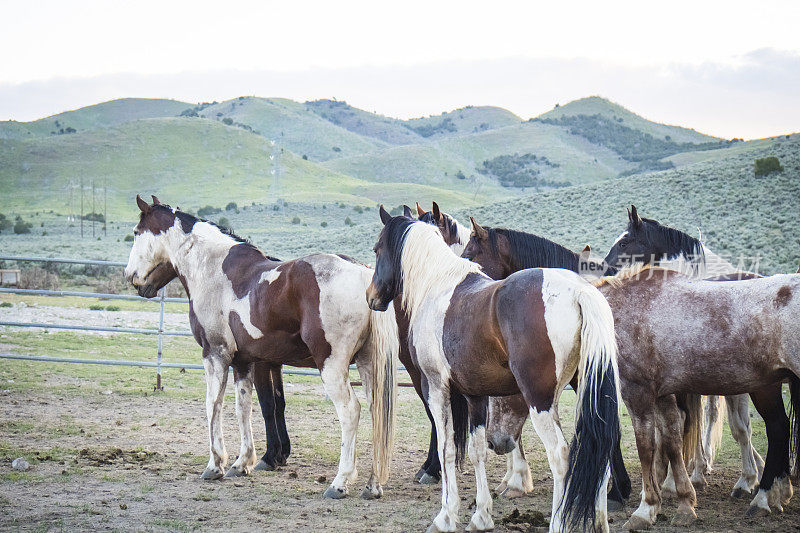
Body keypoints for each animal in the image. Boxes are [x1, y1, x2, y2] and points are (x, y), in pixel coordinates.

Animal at [125, 194, 400, 498]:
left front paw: (215, 465)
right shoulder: (244, 361)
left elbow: (213, 405)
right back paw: (373, 485)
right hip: (368, 364)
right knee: (378, 414)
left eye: (136, 232)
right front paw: (242, 462)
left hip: (332, 366)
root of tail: (363, 275)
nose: (130, 276)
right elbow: (244, 407)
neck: (213, 270)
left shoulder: (215, 355)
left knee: (350, 412)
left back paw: (340, 483)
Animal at [366, 207, 620, 532]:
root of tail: (578, 291)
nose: (371, 296)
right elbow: (477, 452)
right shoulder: (475, 395)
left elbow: (447, 448)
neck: (437, 285)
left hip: (539, 400)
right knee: (600, 452)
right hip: (584, 392)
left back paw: (558, 522)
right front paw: (481, 515)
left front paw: (446, 516)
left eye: (377, 249)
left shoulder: (436, 388)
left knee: (561, 457)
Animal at [466, 221, 800, 528]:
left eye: (470, 254)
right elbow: (671, 439)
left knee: (776, 428)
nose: (495, 441)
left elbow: (643, 444)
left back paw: (762, 495)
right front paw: (682, 501)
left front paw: (642, 505)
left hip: (765, 387)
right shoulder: (661, 393)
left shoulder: (633, 391)